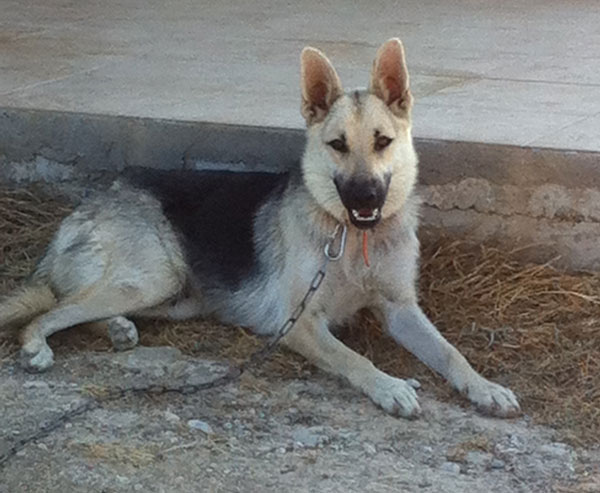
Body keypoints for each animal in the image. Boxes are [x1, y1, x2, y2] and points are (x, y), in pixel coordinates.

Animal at [0, 38, 520, 418]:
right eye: (337, 145)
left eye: (382, 142)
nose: (365, 198)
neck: (351, 238)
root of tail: (96, 199)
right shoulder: (299, 323)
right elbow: (353, 358)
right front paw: (389, 385)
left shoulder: (400, 310)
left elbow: (451, 353)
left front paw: (485, 387)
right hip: (154, 279)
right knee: (46, 312)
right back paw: (41, 346)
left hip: (176, 298)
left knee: (76, 305)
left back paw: (117, 330)